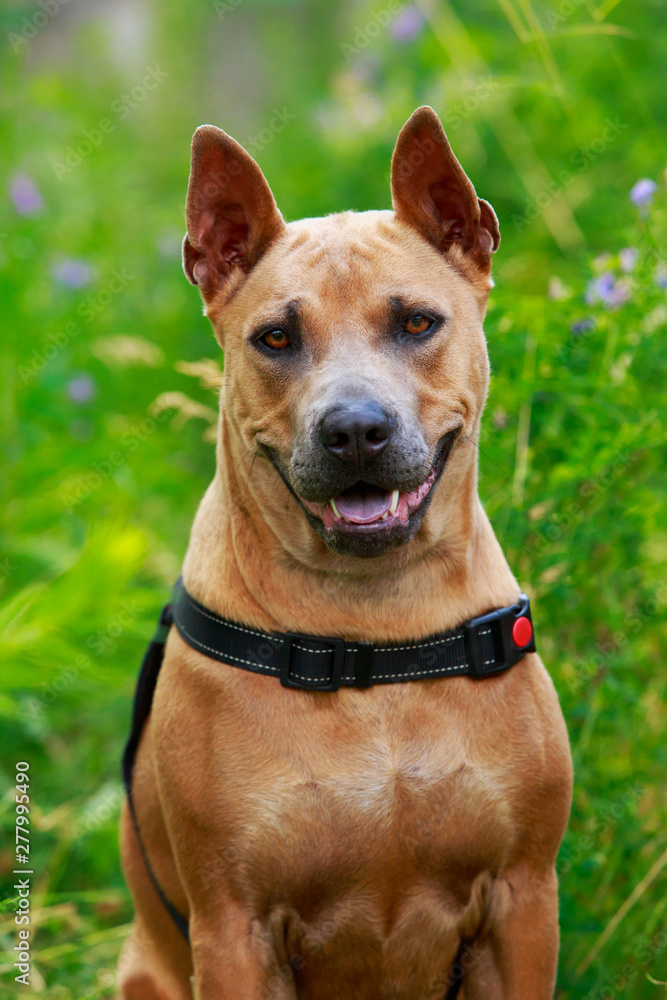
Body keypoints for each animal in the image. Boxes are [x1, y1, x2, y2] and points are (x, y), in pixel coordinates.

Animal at [117, 105, 572, 996]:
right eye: (275, 337)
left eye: (417, 322)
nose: (355, 430)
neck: (373, 633)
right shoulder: (233, 931)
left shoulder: (523, 901)